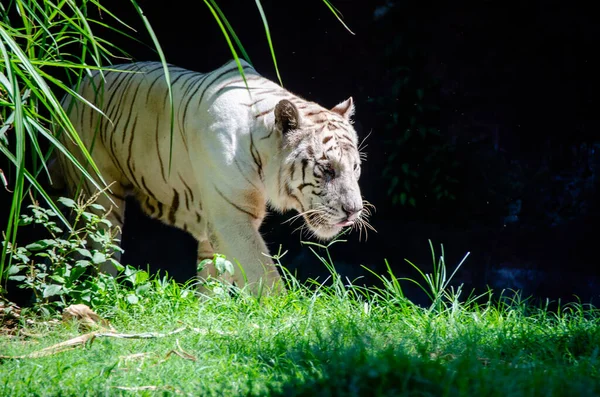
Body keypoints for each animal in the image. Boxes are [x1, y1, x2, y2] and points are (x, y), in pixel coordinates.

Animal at [52, 59, 370, 294]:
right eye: (327, 169)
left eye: (355, 168)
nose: (354, 211)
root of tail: (72, 88)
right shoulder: (232, 217)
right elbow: (262, 273)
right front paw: (286, 315)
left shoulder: (218, 220)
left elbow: (216, 272)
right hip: (99, 195)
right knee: (100, 250)